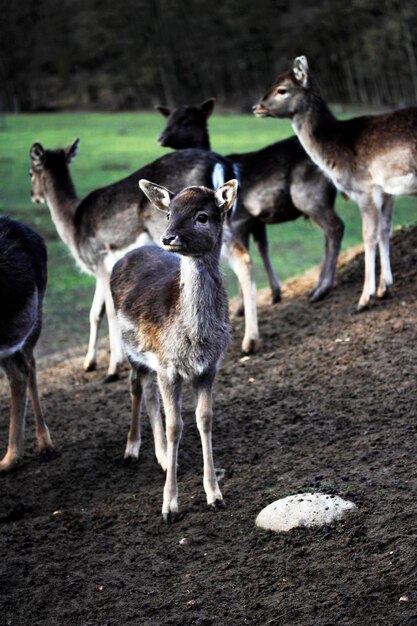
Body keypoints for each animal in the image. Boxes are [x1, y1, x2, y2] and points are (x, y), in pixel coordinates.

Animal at [29, 140, 256, 380]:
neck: (73, 230)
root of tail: (223, 162)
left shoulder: (99, 259)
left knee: (240, 259)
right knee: (244, 256)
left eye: (30, 172)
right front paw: (89, 363)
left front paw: (113, 368)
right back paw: (249, 341)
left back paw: (248, 342)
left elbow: (109, 311)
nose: (34, 195)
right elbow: (94, 312)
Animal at [109, 178, 237, 520]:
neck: (194, 338)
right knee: (136, 386)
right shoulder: (169, 367)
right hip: (132, 351)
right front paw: (169, 507)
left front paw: (215, 495)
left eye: (202, 216)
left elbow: (203, 419)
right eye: (169, 214)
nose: (168, 237)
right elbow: (174, 426)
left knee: (150, 394)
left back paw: (164, 458)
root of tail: (131, 252)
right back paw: (131, 450)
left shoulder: (209, 367)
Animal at [154, 95, 342, 304]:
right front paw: (275, 293)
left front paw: (241, 306)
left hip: (309, 196)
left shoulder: (239, 218)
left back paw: (322, 289)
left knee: (335, 227)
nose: (160, 138)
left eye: (186, 121)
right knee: (326, 233)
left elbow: (246, 254)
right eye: (167, 119)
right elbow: (262, 248)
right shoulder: (256, 220)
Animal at [254, 54, 416, 308]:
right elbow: (384, 231)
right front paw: (384, 288)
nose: (256, 107)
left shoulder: (365, 188)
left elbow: (368, 236)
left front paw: (364, 298)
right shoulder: (387, 191)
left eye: (282, 90)